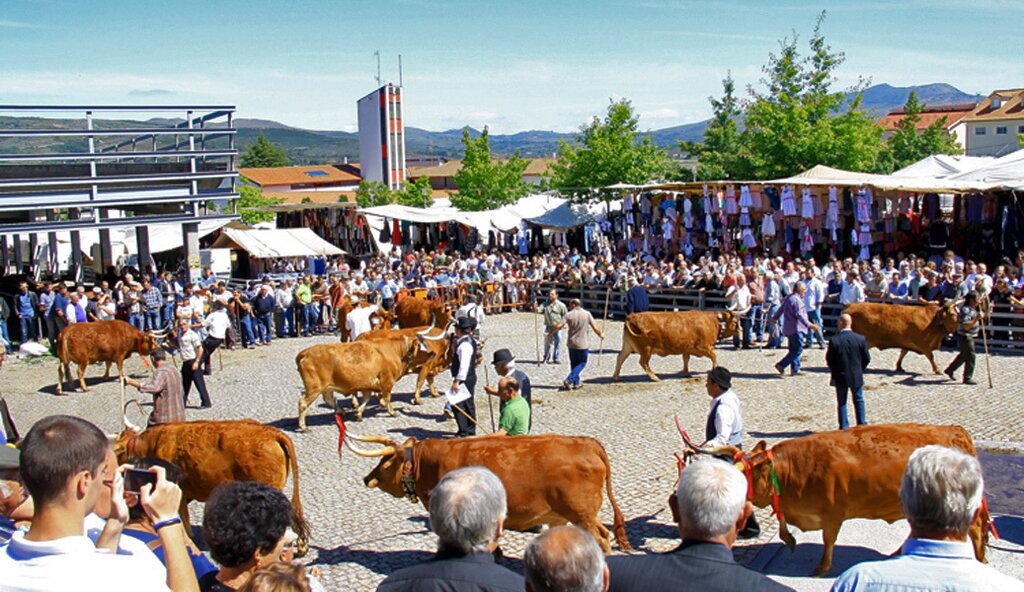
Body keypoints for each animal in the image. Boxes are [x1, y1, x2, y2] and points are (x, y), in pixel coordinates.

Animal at [610, 307, 741, 381]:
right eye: (735, 322)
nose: (741, 330)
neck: (714, 322)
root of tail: (631, 316)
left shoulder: (687, 349)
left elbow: (686, 360)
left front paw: (686, 373)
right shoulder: (703, 347)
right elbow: (714, 357)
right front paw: (714, 369)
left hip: (628, 346)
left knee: (620, 357)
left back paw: (616, 377)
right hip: (646, 348)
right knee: (643, 363)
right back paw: (654, 377)